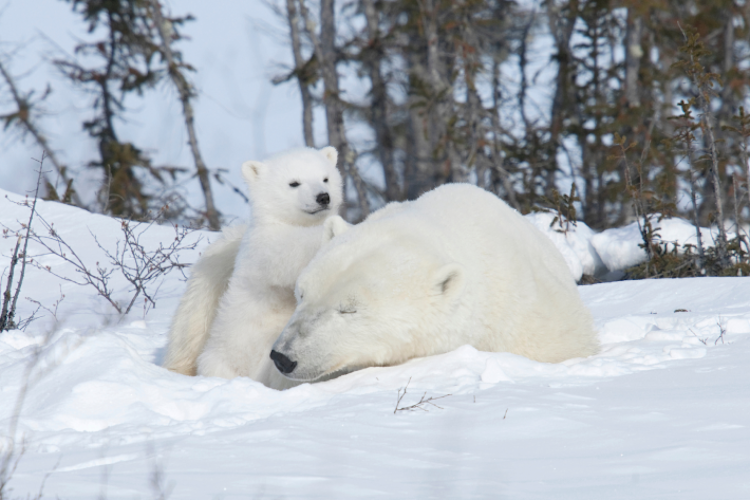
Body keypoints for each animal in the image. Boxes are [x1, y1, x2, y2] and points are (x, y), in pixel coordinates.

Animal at [163, 146, 344, 388]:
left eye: (325, 178)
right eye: (294, 183)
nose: (323, 197)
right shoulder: (264, 248)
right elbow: (290, 256)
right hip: (228, 355)